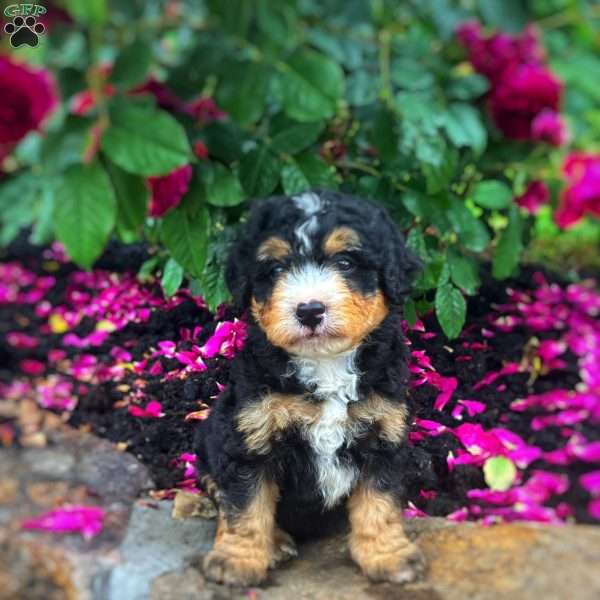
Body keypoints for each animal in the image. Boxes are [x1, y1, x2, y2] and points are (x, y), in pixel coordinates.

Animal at [195, 189, 424, 584]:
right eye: (274, 269)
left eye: (346, 262)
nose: (310, 310)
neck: (326, 363)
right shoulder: (250, 435)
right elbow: (245, 504)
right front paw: (237, 560)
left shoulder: (384, 432)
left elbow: (380, 503)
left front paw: (388, 554)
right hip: (210, 435)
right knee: (220, 495)